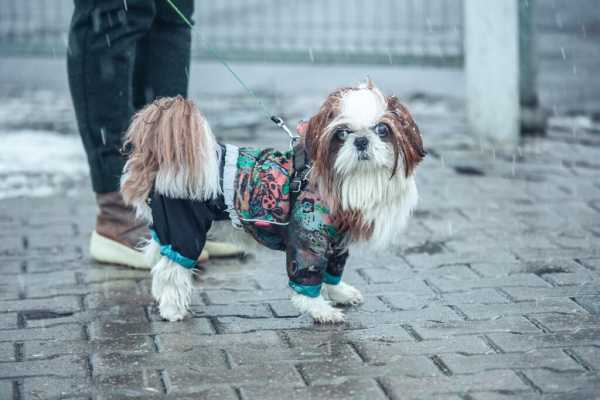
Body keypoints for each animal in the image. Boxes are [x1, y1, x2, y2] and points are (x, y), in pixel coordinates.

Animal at [119, 81, 424, 322]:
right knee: (170, 269)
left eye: (382, 129)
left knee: (158, 256)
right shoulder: (308, 239)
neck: (354, 178)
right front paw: (319, 309)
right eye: (342, 133)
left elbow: (332, 270)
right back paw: (172, 308)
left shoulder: (337, 243)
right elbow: (307, 276)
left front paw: (339, 292)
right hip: (185, 230)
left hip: (170, 228)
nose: (361, 141)